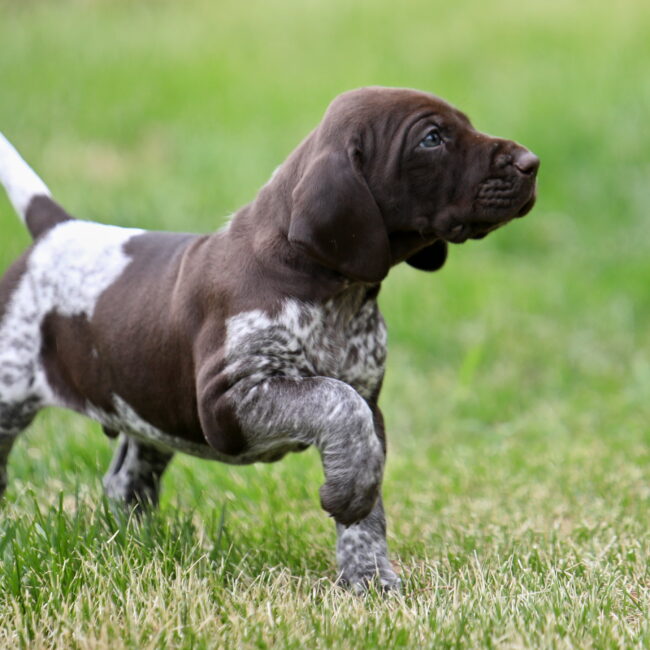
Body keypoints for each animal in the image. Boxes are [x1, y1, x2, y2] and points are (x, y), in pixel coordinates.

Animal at [0, 87, 538, 590]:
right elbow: (337, 403)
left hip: (149, 411)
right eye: (432, 139)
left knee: (124, 483)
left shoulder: (369, 401)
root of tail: (58, 229)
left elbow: (366, 494)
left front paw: (368, 579)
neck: (330, 292)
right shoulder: (230, 400)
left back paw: (136, 546)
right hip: (11, 392)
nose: (531, 162)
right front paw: (348, 497)